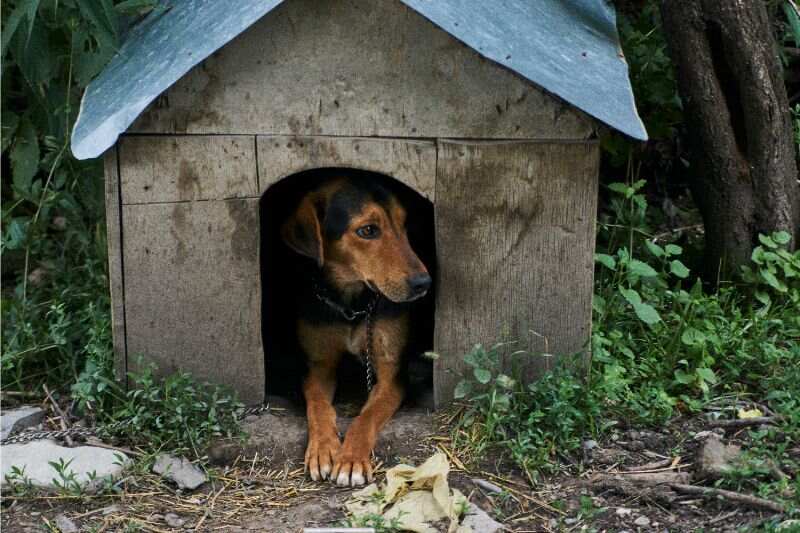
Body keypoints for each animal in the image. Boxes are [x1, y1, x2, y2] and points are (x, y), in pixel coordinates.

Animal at [282, 171, 432, 486]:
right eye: (368, 231)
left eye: (403, 224)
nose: (423, 284)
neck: (351, 305)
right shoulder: (318, 367)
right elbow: (318, 406)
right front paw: (323, 448)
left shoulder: (390, 374)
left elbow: (367, 416)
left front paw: (350, 459)